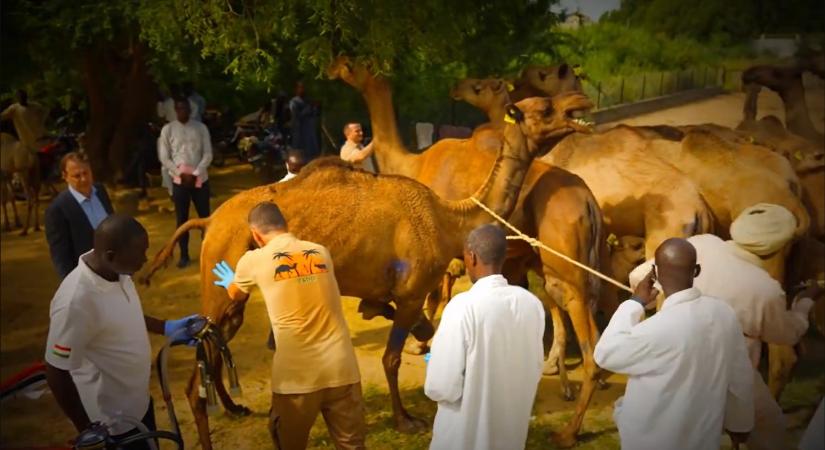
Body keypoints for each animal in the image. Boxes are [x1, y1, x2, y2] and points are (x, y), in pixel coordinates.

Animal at [142, 93, 592, 448]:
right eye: (545, 107)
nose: (579, 101)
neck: (449, 219)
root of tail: (209, 221)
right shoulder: (411, 291)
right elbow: (391, 359)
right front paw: (406, 419)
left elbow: (399, 319)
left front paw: (392, 324)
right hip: (219, 282)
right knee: (195, 374)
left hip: (232, 292)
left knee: (215, 343)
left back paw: (235, 406)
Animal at [326, 60, 604, 446]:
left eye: (350, 64)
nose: (330, 67)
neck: (414, 164)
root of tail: (588, 201)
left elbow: (435, 295)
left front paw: (421, 344)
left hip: (565, 267)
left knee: (585, 337)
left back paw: (567, 431)